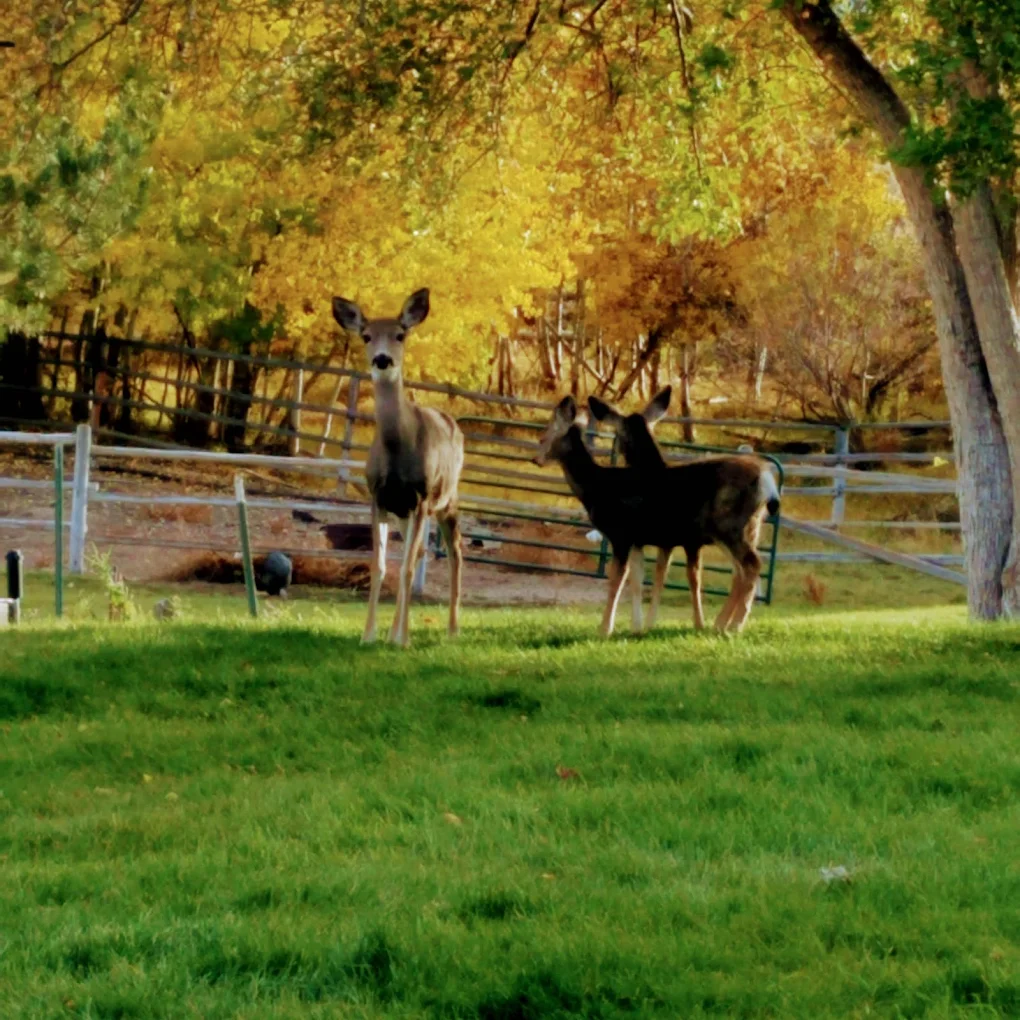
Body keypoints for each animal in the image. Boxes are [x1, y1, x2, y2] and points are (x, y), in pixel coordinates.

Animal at [331, 288, 464, 647]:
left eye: (400, 335)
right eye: (366, 336)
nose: (382, 359)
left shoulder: (421, 497)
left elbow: (404, 568)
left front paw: (404, 641)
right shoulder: (378, 498)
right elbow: (379, 565)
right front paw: (369, 636)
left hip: (446, 500)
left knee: (454, 552)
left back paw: (451, 629)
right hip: (405, 513)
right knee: (415, 553)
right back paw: (393, 632)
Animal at [587, 387, 781, 633]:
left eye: (619, 436)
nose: (617, 449)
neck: (650, 471)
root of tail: (766, 480)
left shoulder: (656, 536)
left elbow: (657, 577)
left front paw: (644, 625)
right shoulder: (672, 540)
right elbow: (658, 577)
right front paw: (646, 625)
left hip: (730, 526)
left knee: (751, 564)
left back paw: (734, 624)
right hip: (748, 528)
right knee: (741, 570)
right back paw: (723, 623)